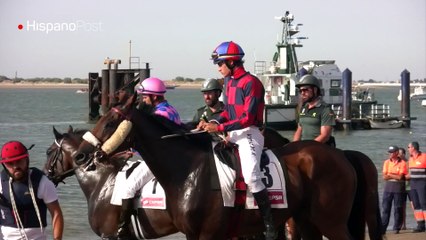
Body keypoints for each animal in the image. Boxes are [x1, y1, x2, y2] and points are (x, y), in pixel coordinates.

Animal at [72, 94, 360, 240]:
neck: (187, 171)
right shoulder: (193, 234)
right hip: (306, 219)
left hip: (331, 221)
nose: (80, 155)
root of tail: (340, 154)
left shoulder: (207, 234)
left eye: (110, 123)